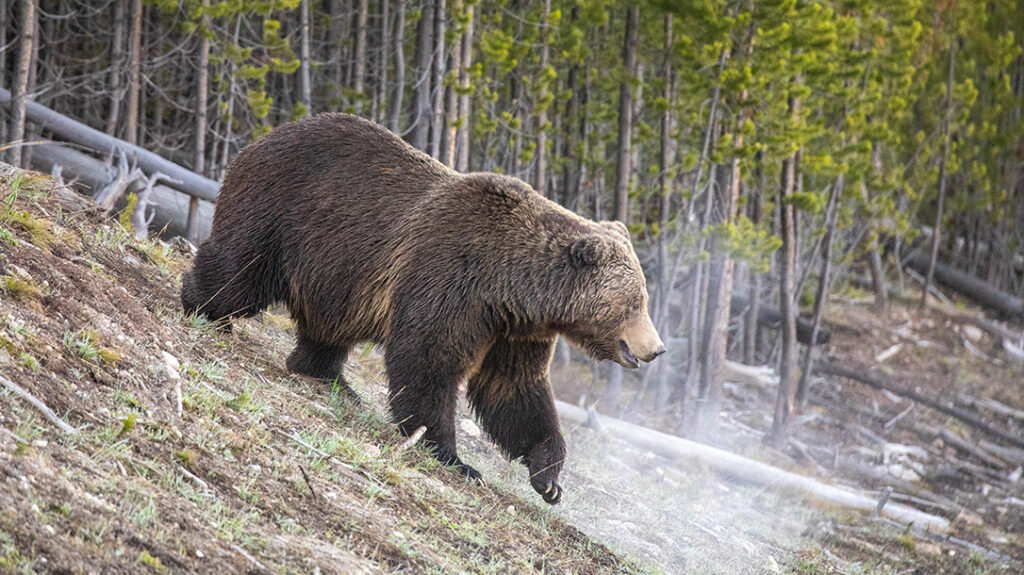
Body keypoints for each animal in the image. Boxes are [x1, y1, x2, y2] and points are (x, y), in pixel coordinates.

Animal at [181, 113, 665, 504]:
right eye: (636, 301)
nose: (657, 348)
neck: (513, 285)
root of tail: (263, 137)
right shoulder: (452, 277)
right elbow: (428, 358)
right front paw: (454, 457)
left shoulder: (513, 329)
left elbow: (515, 389)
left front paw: (548, 476)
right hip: (283, 209)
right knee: (241, 268)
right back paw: (201, 305)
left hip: (336, 272)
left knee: (328, 325)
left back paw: (330, 376)